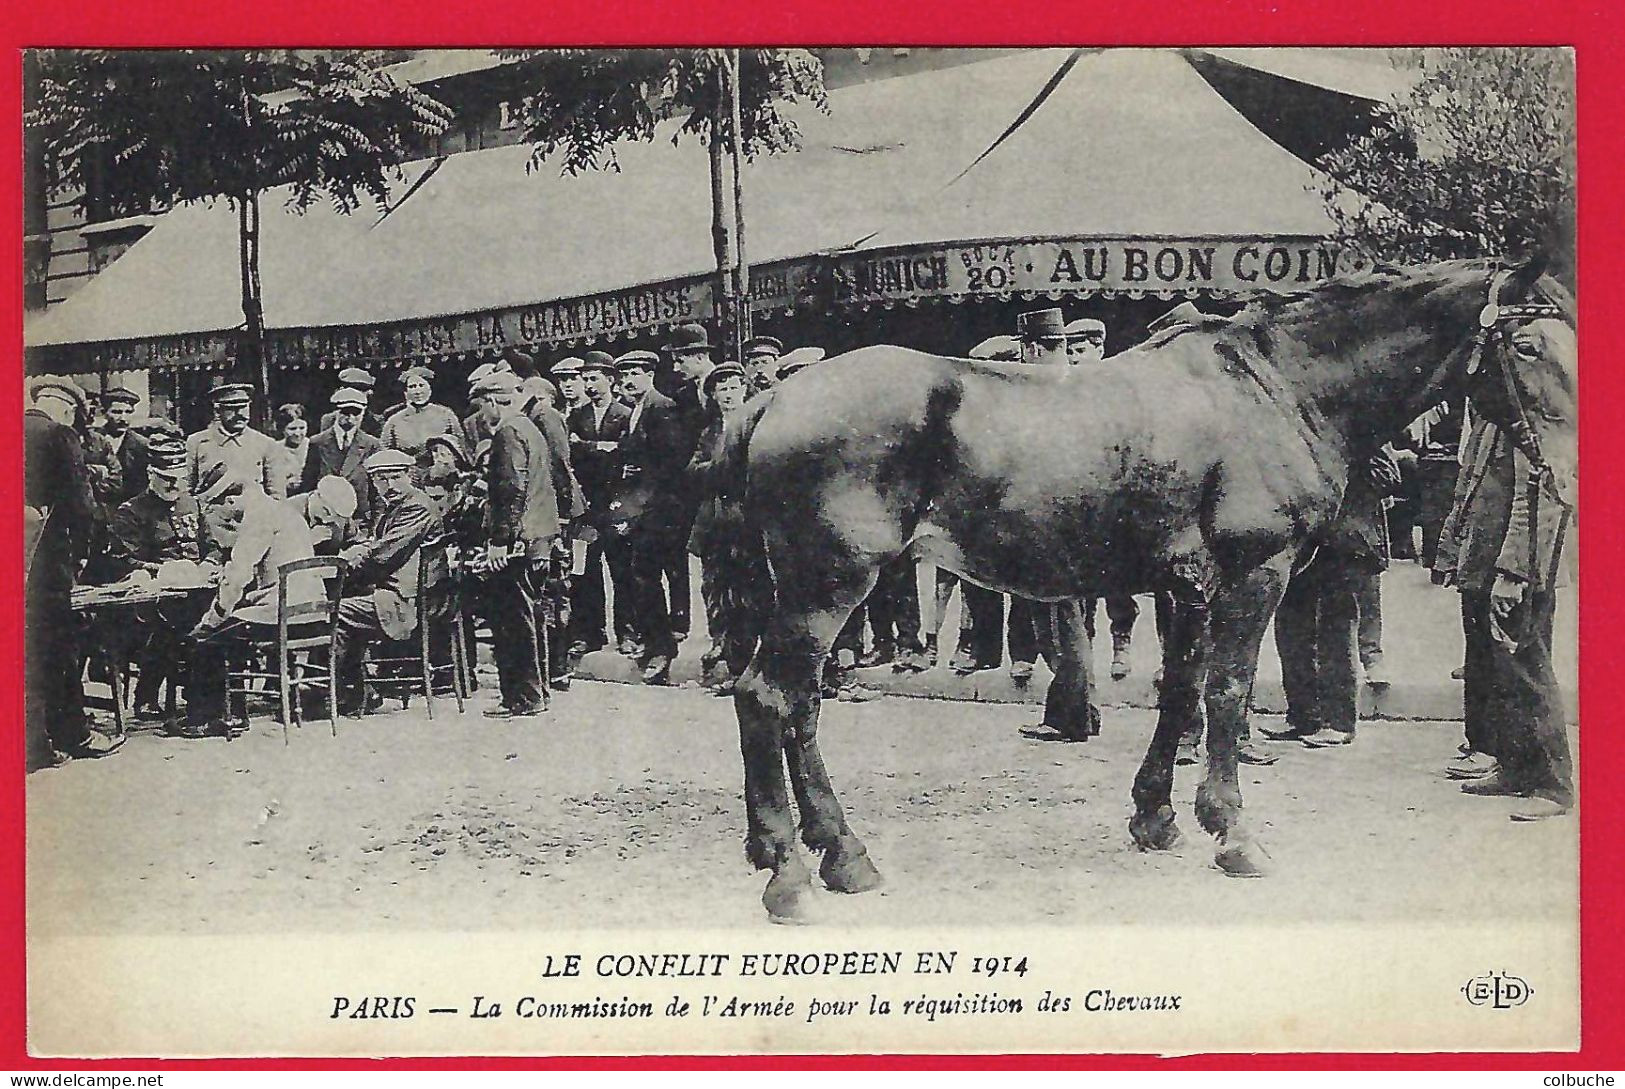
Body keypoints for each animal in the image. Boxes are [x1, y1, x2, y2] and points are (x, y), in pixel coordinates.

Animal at [715, 260, 1573, 923]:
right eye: (1528, 344)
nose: (1567, 473)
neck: (1276, 388)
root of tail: (772, 397)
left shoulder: (1183, 586)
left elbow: (1180, 690)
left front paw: (1156, 815)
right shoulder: (1252, 573)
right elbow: (1225, 691)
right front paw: (1234, 834)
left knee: (799, 705)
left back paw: (838, 852)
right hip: (827, 585)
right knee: (767, 696)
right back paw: (790, 873)